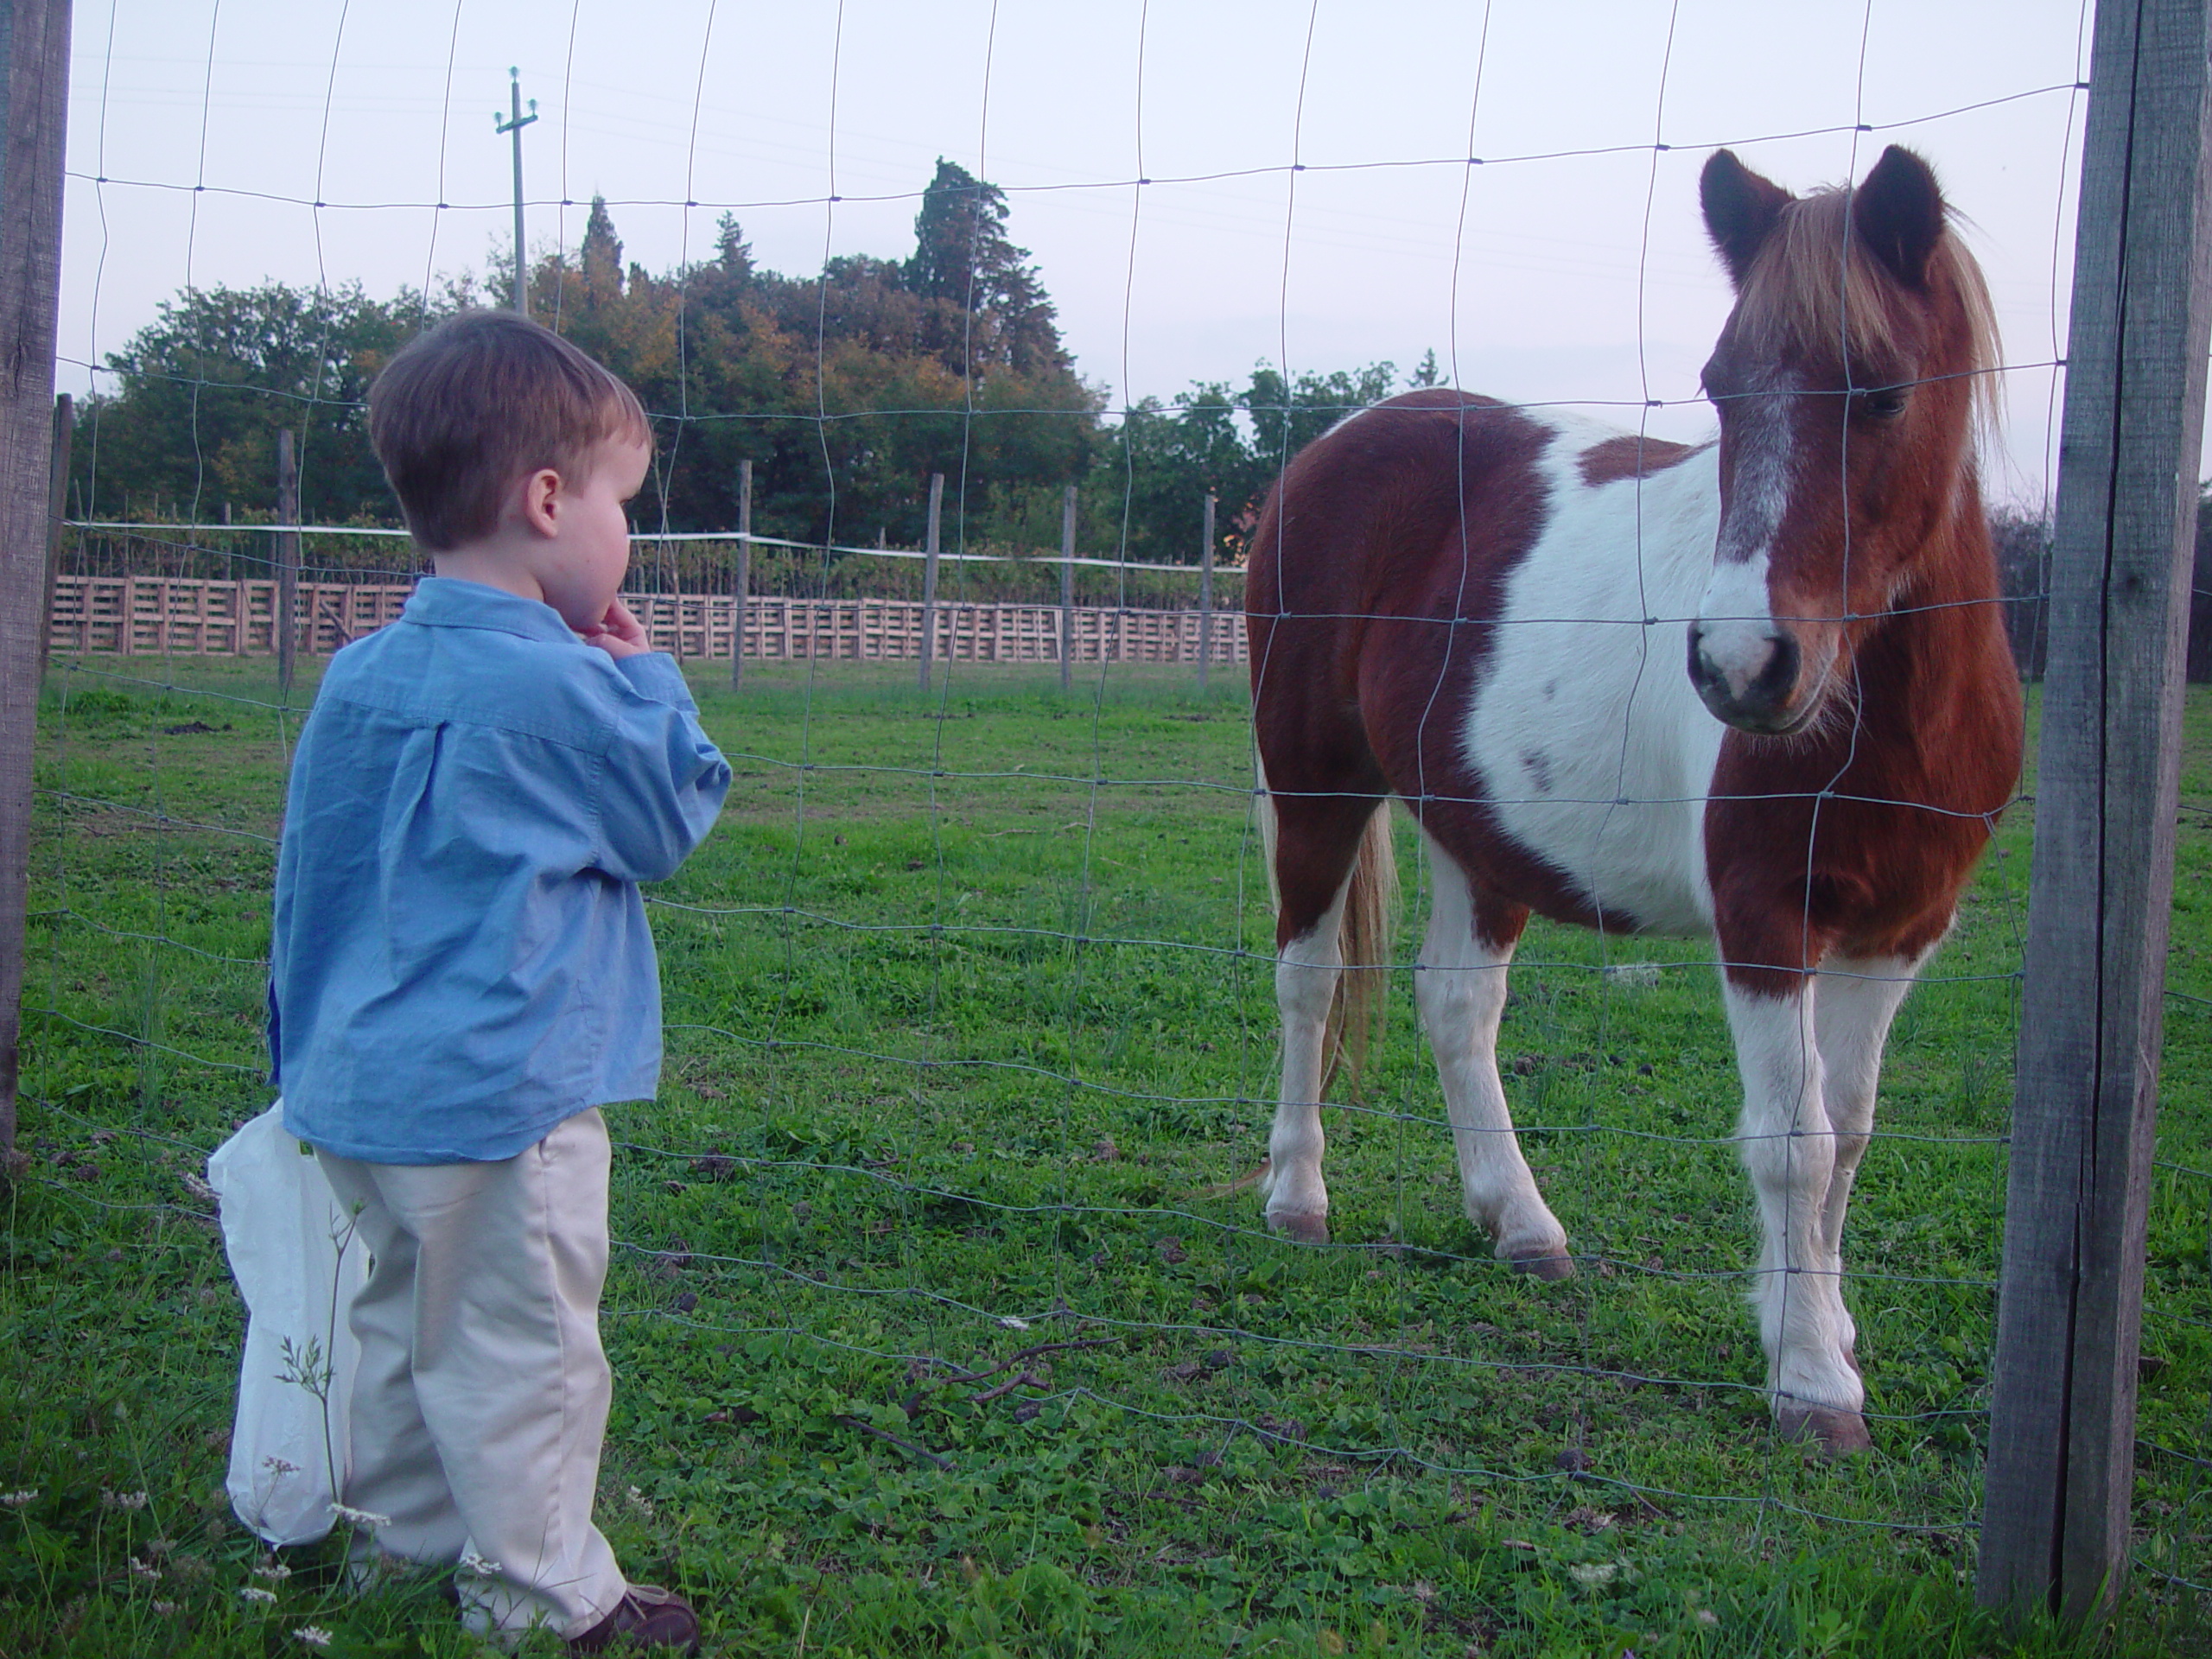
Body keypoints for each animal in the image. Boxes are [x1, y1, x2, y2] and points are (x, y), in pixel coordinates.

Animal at [1247, 149, 2025, 1459]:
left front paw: (1822, 1323)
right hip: (1317, 788)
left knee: (1457, 1006)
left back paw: (1521, 1224)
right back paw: (1297, 1196)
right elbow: (1793, 1141)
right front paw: (1812, 1380)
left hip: (1477, 824)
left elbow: (1851, 1131)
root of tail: (1337, 443)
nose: (1739, 667)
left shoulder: (1896, 935)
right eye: (1720, 388)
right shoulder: (1766, 922)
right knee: (1309, 984)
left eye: (1881, 394)